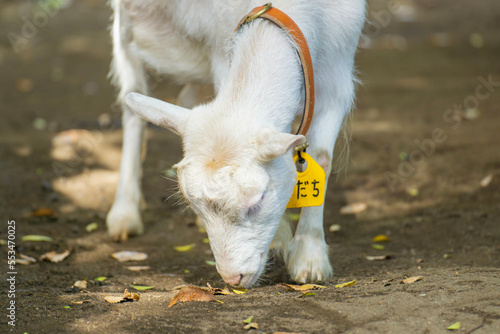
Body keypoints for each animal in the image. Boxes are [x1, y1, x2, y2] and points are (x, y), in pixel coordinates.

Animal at [107, 0, 366, 288]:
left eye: (258, 201)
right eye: (194, 205)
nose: (233, 278)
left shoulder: (339, 67)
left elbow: (321, 158)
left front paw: (310, 259)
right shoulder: (222, 45)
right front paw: (284, 241)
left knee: (186, 97)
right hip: (128, 29)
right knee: (132, 108)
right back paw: (125, 213)